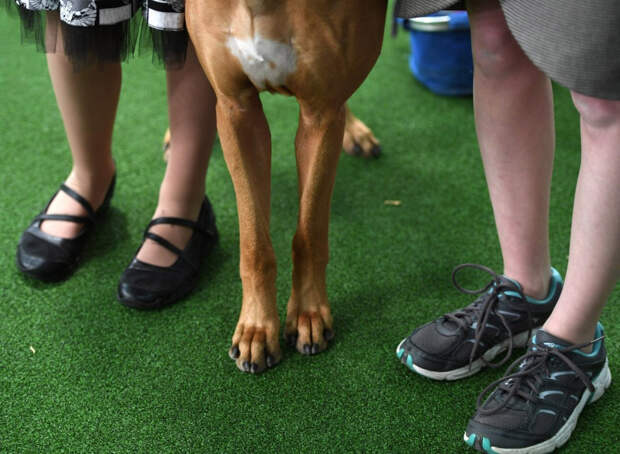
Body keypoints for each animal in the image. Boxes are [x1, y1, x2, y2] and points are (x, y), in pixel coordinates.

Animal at [186, 0, 386, 372]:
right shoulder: (236, 109)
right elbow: (254, 243)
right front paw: (256, 330)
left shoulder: (321, 113)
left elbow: (309, 233)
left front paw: (309, 313)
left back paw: (354, 130)